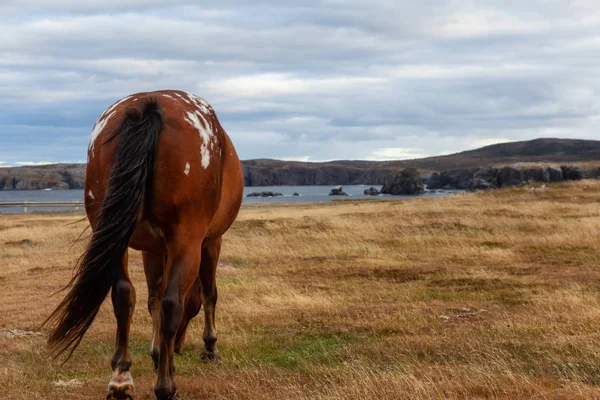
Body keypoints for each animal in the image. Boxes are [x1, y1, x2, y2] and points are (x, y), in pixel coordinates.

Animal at [42, 90, 245, 400]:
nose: (177, 347)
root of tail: (149, 103)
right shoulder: (209, 242)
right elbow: (207, 294)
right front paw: (209, 348)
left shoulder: (153, 249)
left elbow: (153, 299)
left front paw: (158, 354)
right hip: (187, 241)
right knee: (173, 302)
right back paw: (165, 386)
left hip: (114, 237)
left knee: (123, 295)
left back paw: (121, 377)